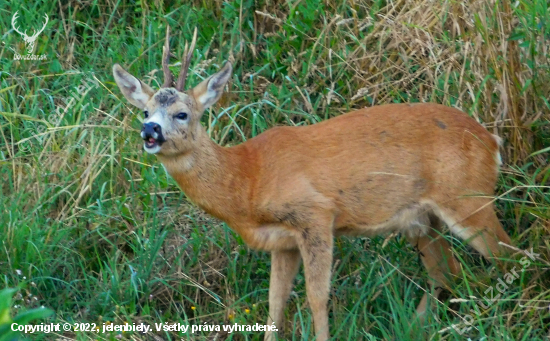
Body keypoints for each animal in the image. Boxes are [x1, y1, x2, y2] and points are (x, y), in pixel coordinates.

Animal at [114, 26, 516, 340]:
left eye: (182, 113)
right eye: (145, 111)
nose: (150, 131)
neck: (248, 178)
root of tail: (492, 141)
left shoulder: (316, 214)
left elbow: (316, 297)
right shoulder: (283, 242)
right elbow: (275, 303)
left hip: (467, 197)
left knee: (509, 255)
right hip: (421, 221)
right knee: (447, 274)